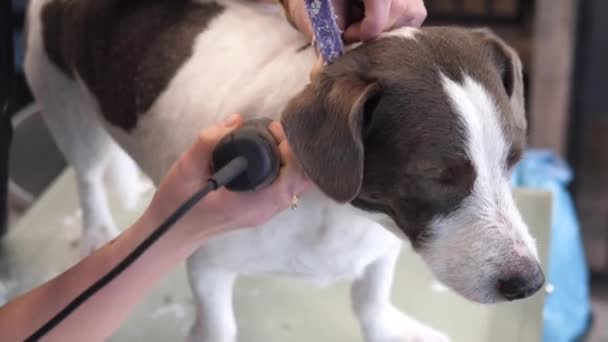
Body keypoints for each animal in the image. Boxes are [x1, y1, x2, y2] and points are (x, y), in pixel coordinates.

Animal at [26, 0, 544, 340]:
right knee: (87, 174)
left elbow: (371, 301)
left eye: (513, 160)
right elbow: (219, 326)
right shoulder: (208, 265)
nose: (530, 284)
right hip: (63, 103)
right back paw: (97, 231)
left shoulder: (378, 248)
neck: (338, 214)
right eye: (435, 178)